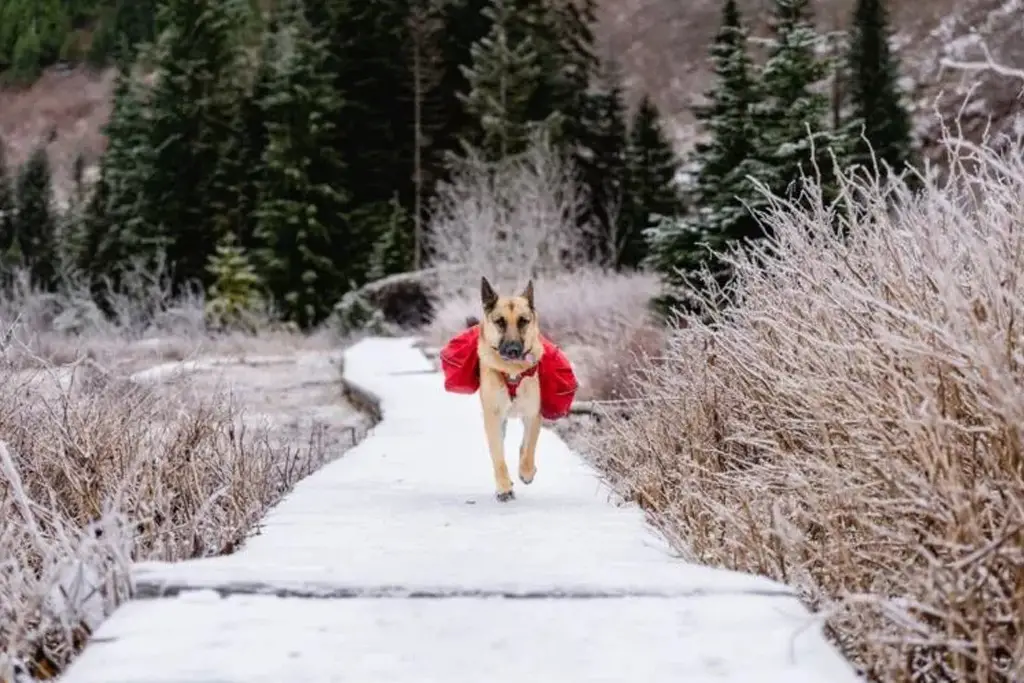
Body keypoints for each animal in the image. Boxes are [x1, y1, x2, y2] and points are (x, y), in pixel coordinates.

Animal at [477, 276, 548, 501]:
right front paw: (504, 487)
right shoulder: (493, 418)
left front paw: (526, 472)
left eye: (523, 321)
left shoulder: (533, 415)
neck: (512, 371)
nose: (513, 350)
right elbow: (498, 457)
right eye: (500, 322)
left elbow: (528, 447)